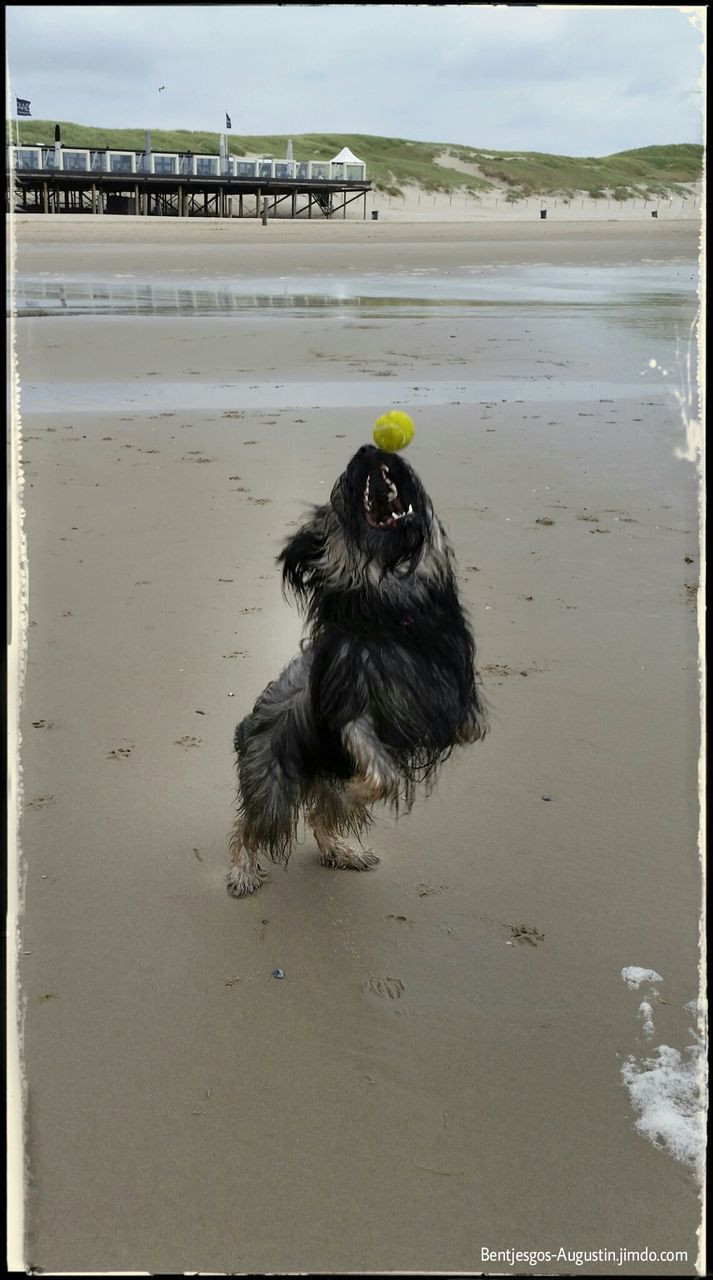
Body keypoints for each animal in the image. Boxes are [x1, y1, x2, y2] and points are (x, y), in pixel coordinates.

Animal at [225, 442, 486, 901]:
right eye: (339, 495)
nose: (367, 449)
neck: (394, 610)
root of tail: (247, 722)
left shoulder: (458, 695)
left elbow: (465, 727)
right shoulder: (351, 707)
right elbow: (382, 775)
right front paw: (362, 790)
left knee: (319, 815)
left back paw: (343, 851)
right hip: (272, 781)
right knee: (251, 827)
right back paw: (242, 871)